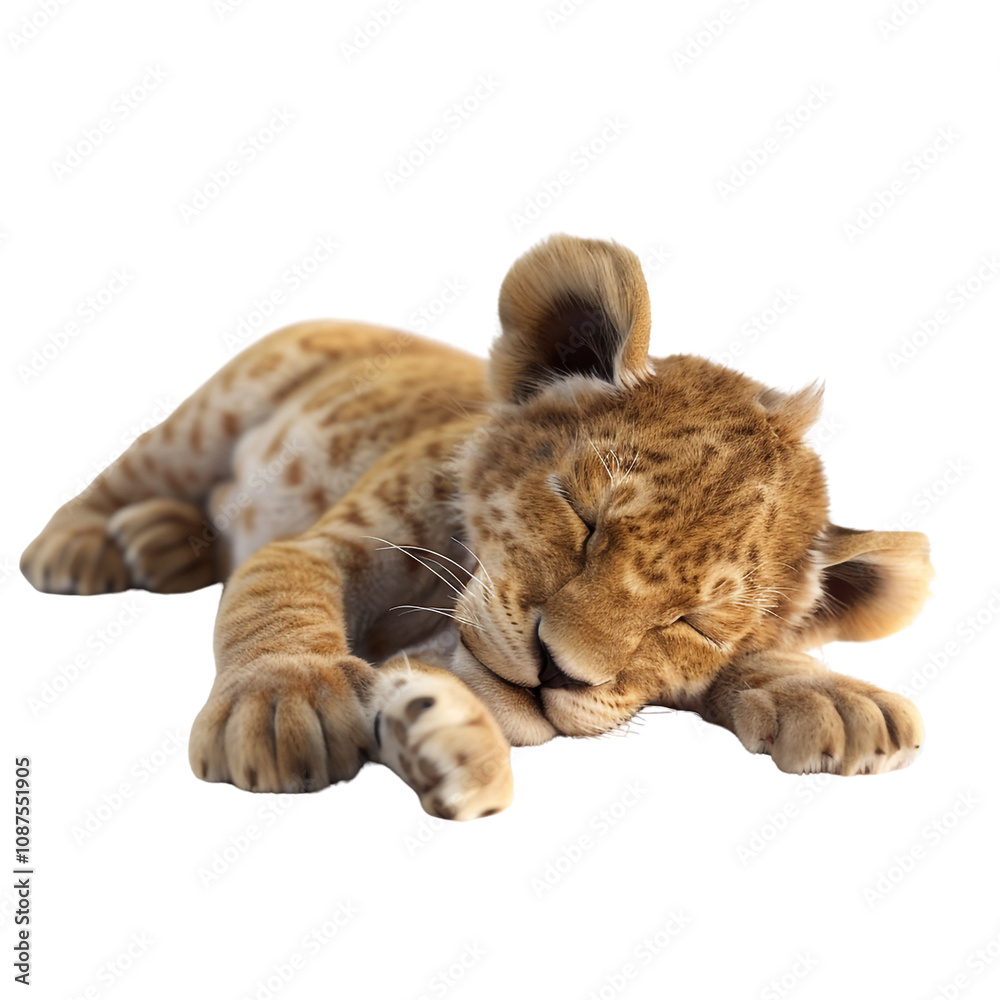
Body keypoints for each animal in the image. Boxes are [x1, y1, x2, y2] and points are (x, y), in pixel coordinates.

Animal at [21, 234, 932, 820]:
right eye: (582, 519)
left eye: (693, 623)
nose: (557, 671)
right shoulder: (325, 545)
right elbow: (279, 597)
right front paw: (287, 702)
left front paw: (832, 695)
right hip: (213, 410)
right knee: (124, 476)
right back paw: (80, 548)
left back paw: (161, 542)